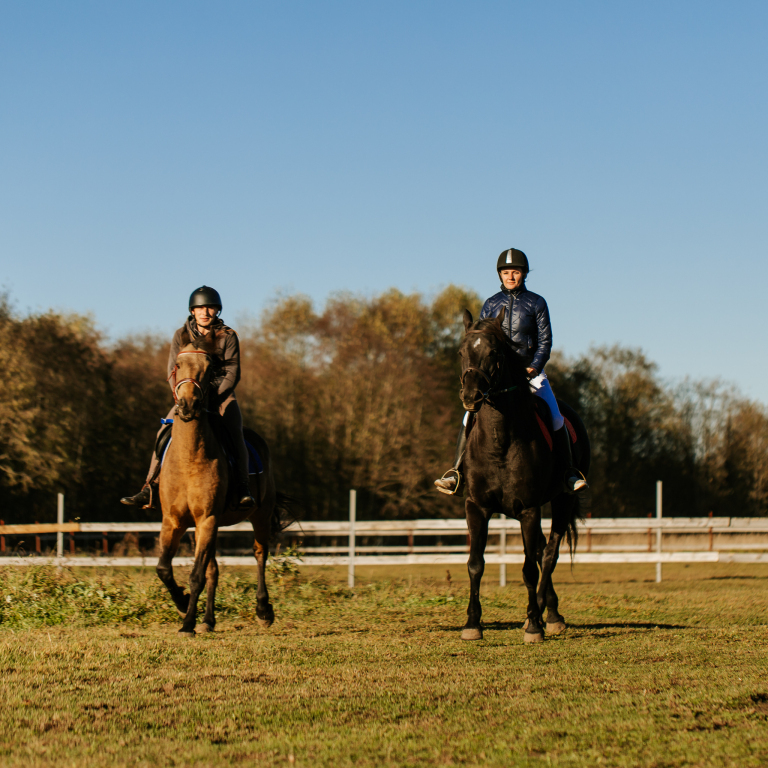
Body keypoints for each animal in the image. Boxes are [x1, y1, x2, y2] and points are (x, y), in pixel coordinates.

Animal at [156, 332, 292, 632]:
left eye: (209, 369)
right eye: (178, 365)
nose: (188, 405)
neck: (189, 458)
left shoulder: (207, 519)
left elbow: (196, 575)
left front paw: (187, 623)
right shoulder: (174, 520)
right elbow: (164, 569)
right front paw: (183, 604)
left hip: (260, 515)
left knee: (259, 554)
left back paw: (263, 610)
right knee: (214, 569)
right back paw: (208, 620)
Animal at [460, 308, 592, 644]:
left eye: (494, 353)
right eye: (461, 352)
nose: (471, 396)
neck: (500, 441)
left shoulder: (529, 510)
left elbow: (530, 569)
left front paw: (533, 625)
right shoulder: (477, 507)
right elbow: (475, 564)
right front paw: (472, 624)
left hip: (561, 502)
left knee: (549, 554)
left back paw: (548, 615)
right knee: (542, 550)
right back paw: (549, 610)